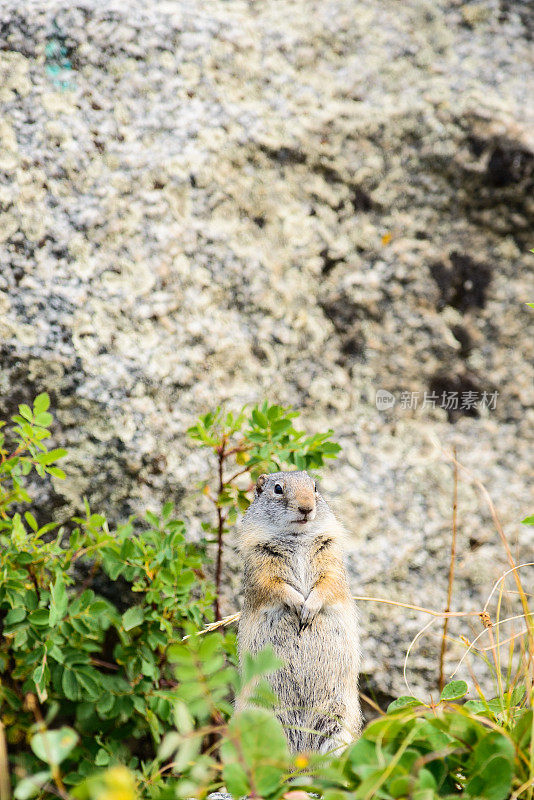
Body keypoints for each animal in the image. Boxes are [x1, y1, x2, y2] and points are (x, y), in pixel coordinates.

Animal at [237, 468, 362, 752]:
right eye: (278, 489)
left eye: (315, 487)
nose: (306, 507)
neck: (297, 538)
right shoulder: (260, 566)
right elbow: (274, 586)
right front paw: (298, 606)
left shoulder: (332, 561)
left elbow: (328, 584)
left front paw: (308, 611)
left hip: (337, 720)